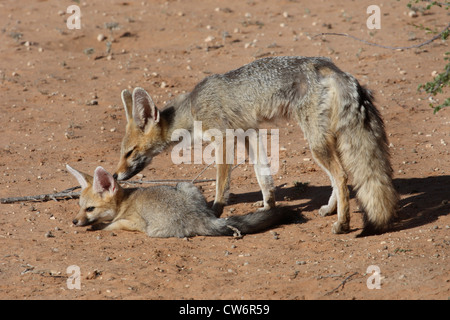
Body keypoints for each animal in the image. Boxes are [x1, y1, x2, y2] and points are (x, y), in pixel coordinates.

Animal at [67, 165, 292, 238]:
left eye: (90, 209)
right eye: (79, 208)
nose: (74, 221)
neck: (125, 202)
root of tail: (200, 215)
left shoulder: (133, 222)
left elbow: (111, 224)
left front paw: (97, 226)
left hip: (152, 231)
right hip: (186, 185)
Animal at [113, 55, 398, 235]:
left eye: (130, 152)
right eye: (122, 152)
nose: (115, 175)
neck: (192, 108)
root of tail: (331, 67)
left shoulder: (224, 138)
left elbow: (221, 184)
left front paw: (215, 211)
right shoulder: (250, 131)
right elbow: (263, 176)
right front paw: (268, 207)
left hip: (316, 142)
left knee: (341, 176)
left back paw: (343, 224)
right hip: (324, 140)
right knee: (339, 178)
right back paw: (330, 209)